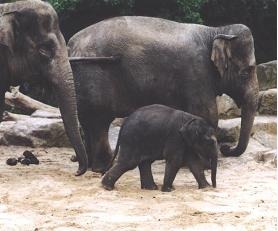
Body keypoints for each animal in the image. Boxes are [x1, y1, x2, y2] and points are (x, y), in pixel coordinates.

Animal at [68, 16, 260, 173]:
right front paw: (204, 165)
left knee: (88, 121)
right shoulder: (197, 73)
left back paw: (91, 166)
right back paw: (102, 168)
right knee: (99, 120)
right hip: (94, 74)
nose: (226, 148)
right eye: (246, 73)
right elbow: (207, 114)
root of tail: (71, 45)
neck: (216, 30)